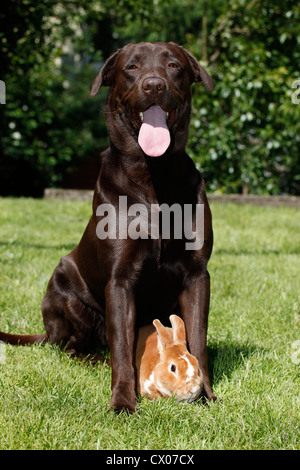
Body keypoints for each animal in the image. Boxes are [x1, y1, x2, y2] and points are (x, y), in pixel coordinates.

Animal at [0, 43, 216, 412]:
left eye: (174, 65)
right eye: (131, 67)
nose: (154, 86)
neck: (153, 176)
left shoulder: (197, 275)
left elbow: (197, 340)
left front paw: (206, 394)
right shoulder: (119, 279)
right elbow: (121, 347)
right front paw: (123, 402)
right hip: (65, 291)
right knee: (71, 347)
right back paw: (95, 359)